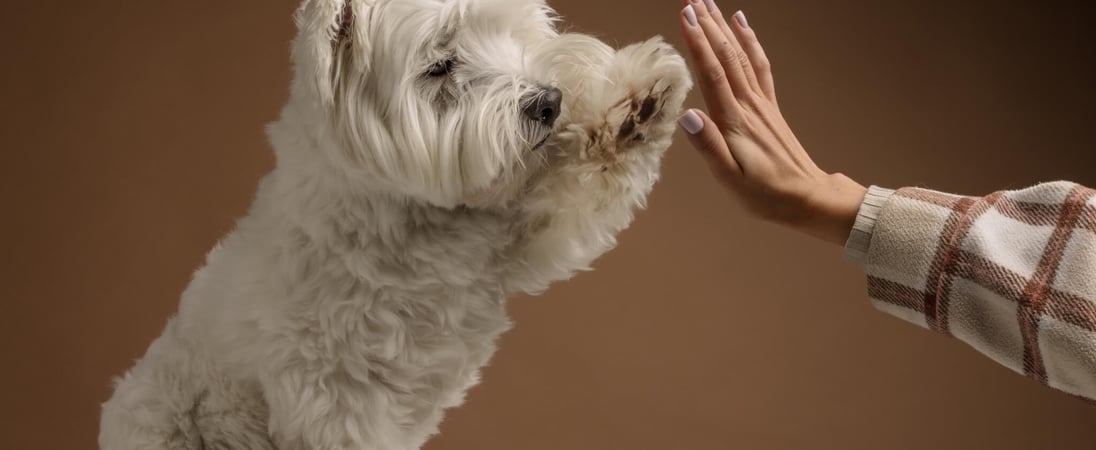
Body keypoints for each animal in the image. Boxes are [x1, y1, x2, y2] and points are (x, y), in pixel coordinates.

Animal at [98, 0, 688, 448]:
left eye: (505, 30)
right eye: (440, 66)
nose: (549, 101)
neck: (404, 217)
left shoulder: (517, 233)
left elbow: (577, 187)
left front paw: (638, 104)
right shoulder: (334, 402)